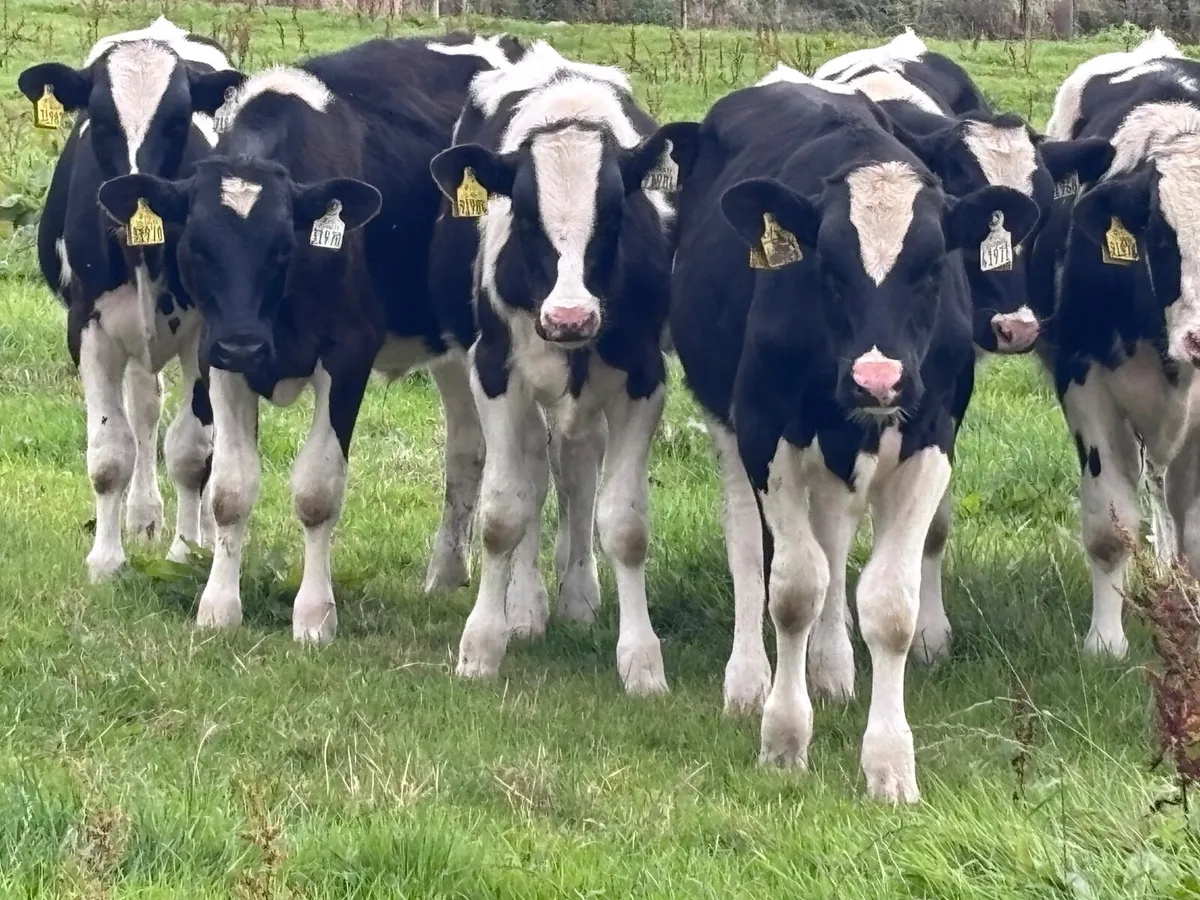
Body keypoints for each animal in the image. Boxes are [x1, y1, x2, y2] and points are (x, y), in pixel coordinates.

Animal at [18, 18, 243, 581]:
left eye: (180, 119)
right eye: (97, 118)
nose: (130, 196)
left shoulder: (206, 332)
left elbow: (192, 451)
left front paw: (187, 551)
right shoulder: (88, 327)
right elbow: (109, 453)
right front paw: (106, 560)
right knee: (143, 410)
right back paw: (142, 517)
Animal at [94, 33, 525, 643]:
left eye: (283, 247)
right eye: (195, 247)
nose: (246, 344)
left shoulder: (347, 355)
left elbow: (318, 492)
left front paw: (314, 616)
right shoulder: (217, 358)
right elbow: (229, 491)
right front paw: (218, 607)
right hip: (448, 345)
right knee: (468, 449)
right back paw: (445, 572)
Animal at [427, 41, 689, 694]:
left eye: (617, 211)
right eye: (522, 213)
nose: (571, 317)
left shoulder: (643, 379)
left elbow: (623, 522)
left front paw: (640, 659)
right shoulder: (494, 373)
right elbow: (503, 512)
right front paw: (482, 644)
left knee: (574, 471)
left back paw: (576, 595)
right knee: (531, 478)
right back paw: (526, 609)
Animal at [670, 79, 1039, 799]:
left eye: (931, 269)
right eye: (830, 269)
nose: (877, 378)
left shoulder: (931, 439)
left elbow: (890, 605)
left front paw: (890, 765)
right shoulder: (766, 433)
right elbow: (792, 590)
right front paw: (784, 739)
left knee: (835, 538)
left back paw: (834, 668)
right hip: (731, 426)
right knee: (749, 546)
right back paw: (749, 679)